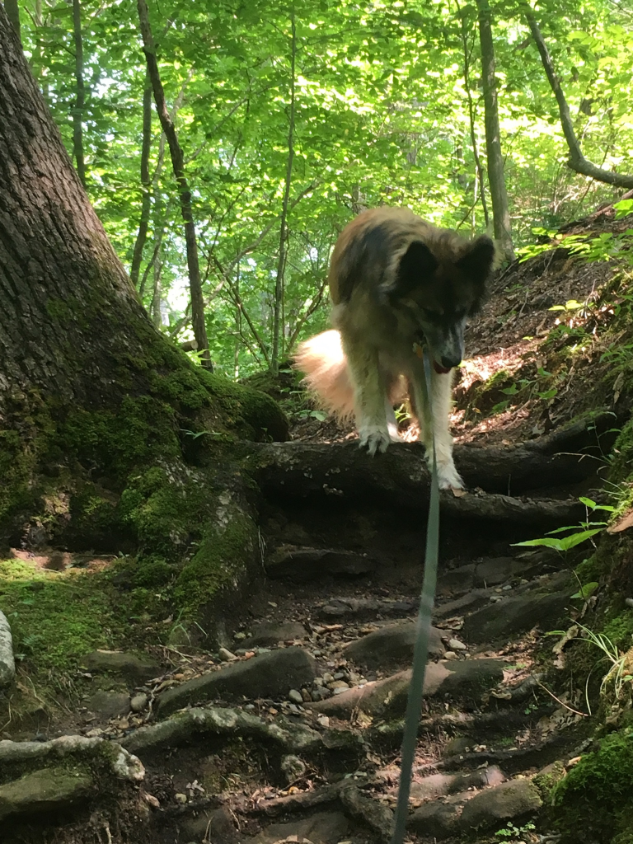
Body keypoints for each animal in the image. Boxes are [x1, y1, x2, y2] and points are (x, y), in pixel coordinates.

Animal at [294, 207, 496, 492]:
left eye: (462, 311)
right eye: (429, 311)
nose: (452, 361)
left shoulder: (429, 359)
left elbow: (434, 415)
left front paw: (443, 465)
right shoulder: (360, 338)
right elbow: (371, 391)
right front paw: (376, 433)